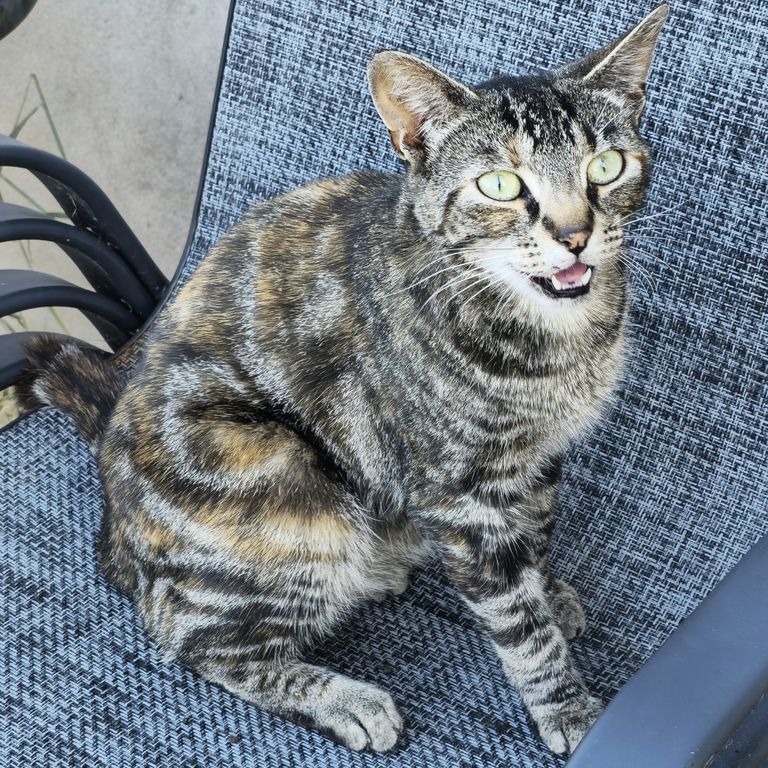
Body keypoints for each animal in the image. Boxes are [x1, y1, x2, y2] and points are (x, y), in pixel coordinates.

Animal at [17, 2, 668, 756]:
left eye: (606, 165)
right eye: (500, 185)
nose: (574, 235)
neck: (553, 344)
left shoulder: (534, 460)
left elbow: (536, 535)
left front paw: (551, 592)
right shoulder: (458, 493)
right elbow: (518, 623)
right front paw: (569, 707)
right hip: (285, 484)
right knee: (188, 635)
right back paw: (345, 698)